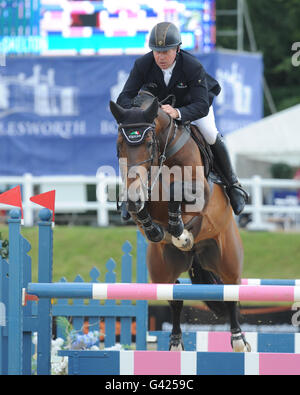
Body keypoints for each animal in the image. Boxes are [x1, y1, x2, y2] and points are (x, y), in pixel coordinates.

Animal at [110, 93, 251, 352]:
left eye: (149, 143)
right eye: (119, 144)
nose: (134, 198)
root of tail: (196, 255)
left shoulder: (200, 192)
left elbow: (177, 192)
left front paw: (180, 233)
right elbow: (143, 212)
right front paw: (157, 230)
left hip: (228, 259)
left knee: (229, 294)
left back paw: (238, 340)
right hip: (161, 269)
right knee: (174, 297)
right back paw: (175, 343)